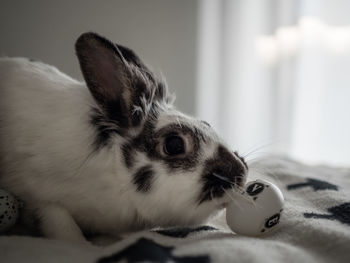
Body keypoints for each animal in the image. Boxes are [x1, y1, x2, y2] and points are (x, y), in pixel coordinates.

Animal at [0, 32, 247, 243]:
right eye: (175, 144)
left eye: (207, 124)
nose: (241, 174)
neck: (113, 168)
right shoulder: (42, 200)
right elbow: (63, 227)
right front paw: (82, 245)